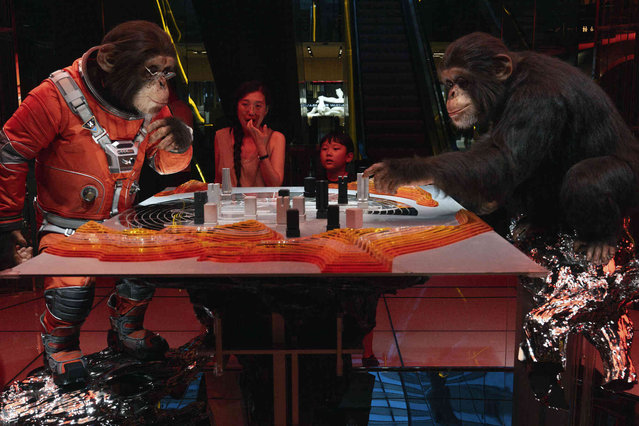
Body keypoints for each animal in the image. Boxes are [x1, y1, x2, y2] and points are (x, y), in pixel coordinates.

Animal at [0, 19, 192, 386]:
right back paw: (61, 354)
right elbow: (15, 150)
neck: (110, 97)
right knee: (70, 293)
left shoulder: (157, 113)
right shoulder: (46, 100)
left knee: (136, 284)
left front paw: (176, 134)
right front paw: (13, 237)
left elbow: (162, 157)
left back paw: (129, 336)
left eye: (168, 72)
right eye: (152, 69)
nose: (163, 82)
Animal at [364, 31, 639, 264]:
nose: (451, 93)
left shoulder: (537, 99)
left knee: (585, 178)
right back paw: (539, 222)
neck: (512, 82)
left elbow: (502, 157)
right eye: (449, 82)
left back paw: (601, 239)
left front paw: (406, 168)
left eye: (462, 80)